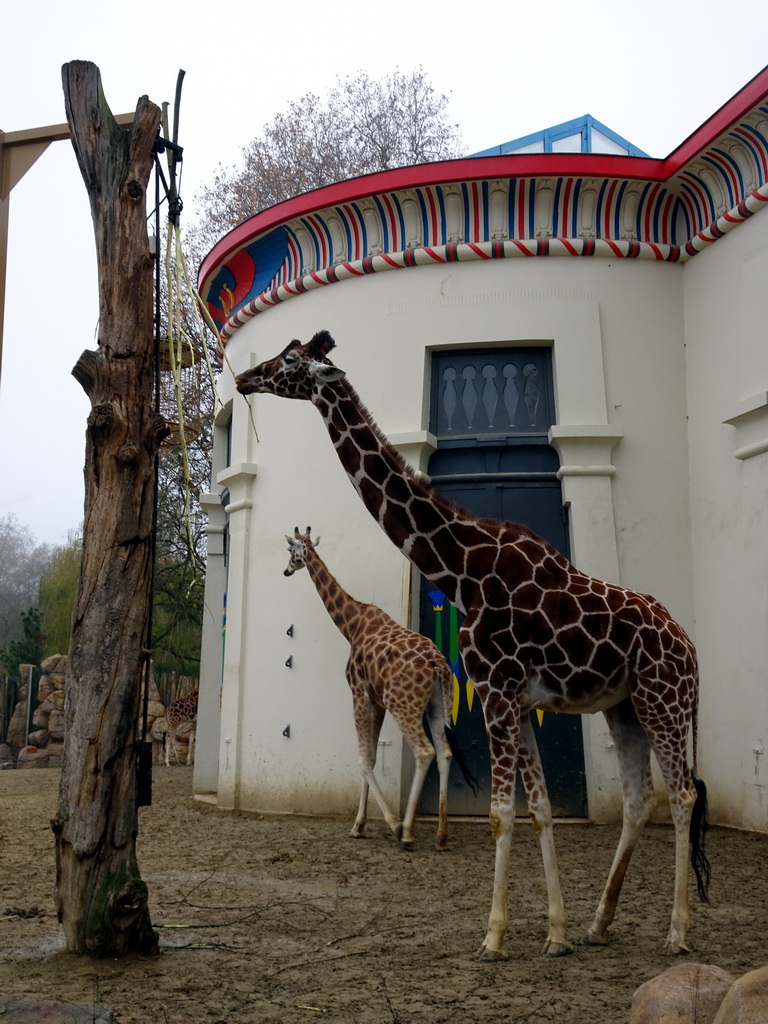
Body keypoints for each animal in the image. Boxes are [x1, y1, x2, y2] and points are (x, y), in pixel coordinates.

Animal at [284, 528, 475, 847]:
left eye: (290, 551)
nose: (286, 570)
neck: (351, 626)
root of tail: (438, 665)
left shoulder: (359, 693)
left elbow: (363, 760)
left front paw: (389, 824)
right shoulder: (377, 701)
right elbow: (371, 758)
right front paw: (358, 825)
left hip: (404, 705)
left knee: (425, 752)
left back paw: (407, 831)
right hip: (437, 705)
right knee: (445, 753)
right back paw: (441, 835)